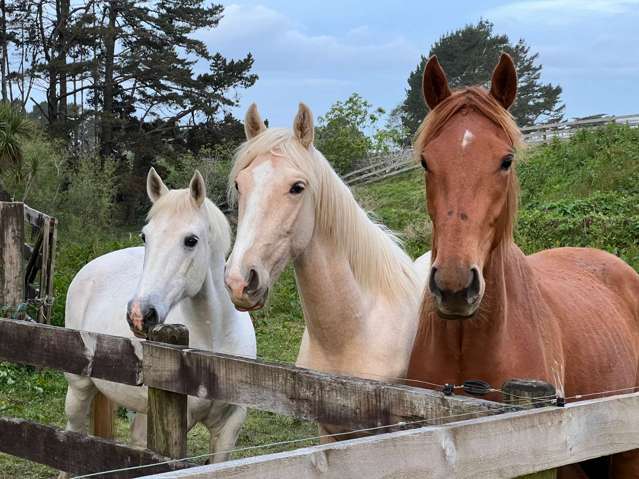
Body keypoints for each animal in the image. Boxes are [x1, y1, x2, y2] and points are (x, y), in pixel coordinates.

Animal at [59, 169, 255, 476]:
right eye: (145, 236)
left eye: (191, 240)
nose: (140, 313)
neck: (214, 342)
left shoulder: (230, 425)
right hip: (79, 386)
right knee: (72, 435)